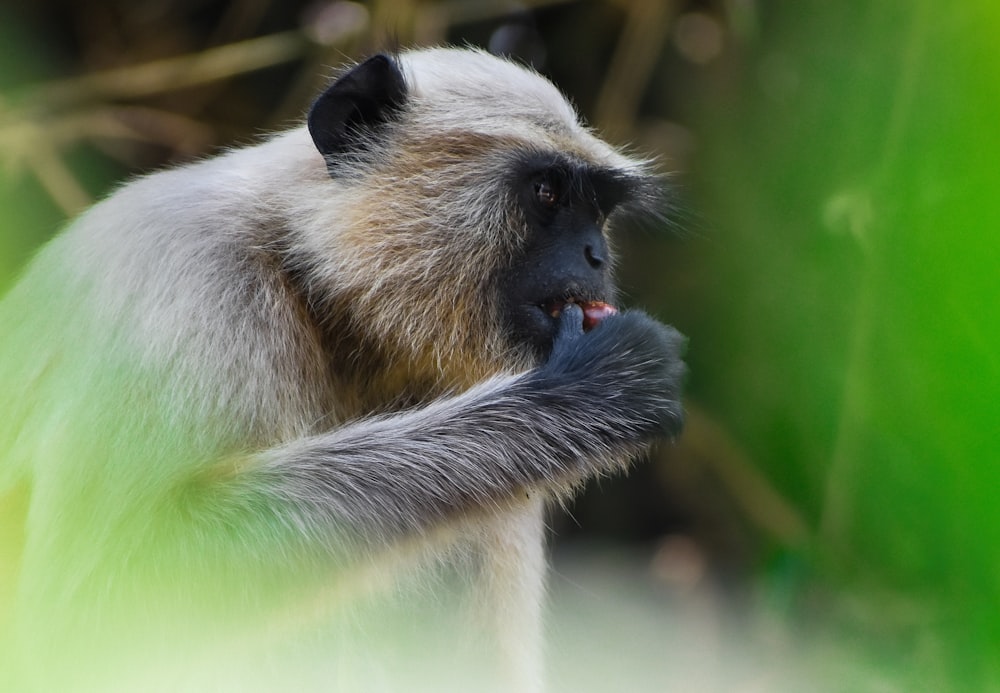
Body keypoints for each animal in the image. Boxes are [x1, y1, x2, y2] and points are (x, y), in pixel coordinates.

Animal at [0, 48, 684, 692]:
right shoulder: (185, 280)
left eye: (598, 212)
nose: (595, 256)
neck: (310, 280)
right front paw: (600, 388)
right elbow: (88, 617)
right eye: (547, 193)